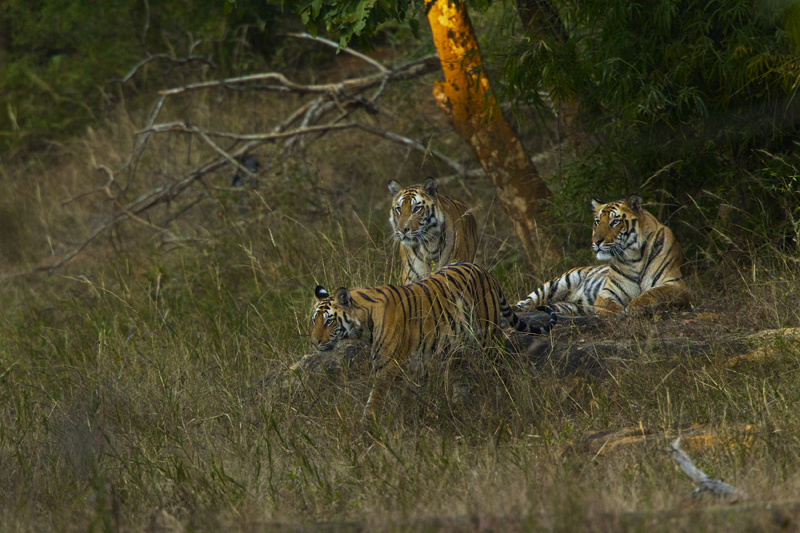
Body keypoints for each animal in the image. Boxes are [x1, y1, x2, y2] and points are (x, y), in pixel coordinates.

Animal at [308, 260, 556, 416]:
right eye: (314, 321)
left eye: (329, 321)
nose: (315, 343)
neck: (363, 324)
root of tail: (481, 269)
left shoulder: (388, 365)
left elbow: (375, 398)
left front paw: (366, 425)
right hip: (455, 346)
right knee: (461, 378)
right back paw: (458, 407)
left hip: (489, 335)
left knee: (502, 368)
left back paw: (507, 397)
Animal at [516, 195, 692, 316]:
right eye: (597, 222)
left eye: (614, 222)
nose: (595, 241)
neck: (634, 257)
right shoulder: (609, 290)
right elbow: (606, 304)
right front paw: (616, 312)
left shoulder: (675, 285)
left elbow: (652, 293)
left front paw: (635, 306)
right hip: (559, 282)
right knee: (526, 301)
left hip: (568, 305)